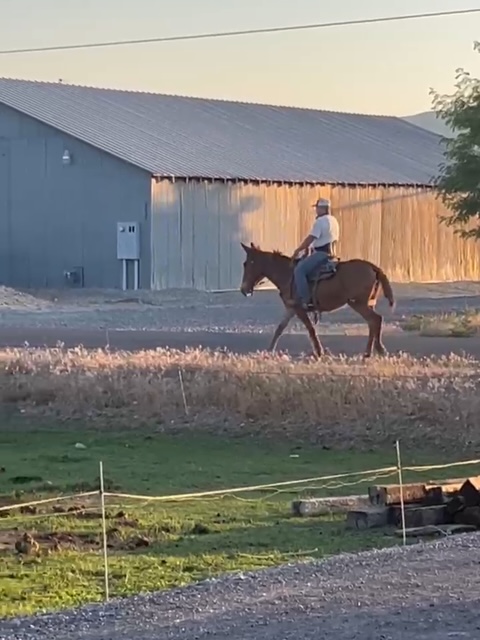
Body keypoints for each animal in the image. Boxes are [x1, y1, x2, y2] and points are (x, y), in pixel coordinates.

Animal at [239, 242, 395, 358]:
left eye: (246, 263)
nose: (243, 289)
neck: (287, 274)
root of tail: (373, 267)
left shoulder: (299, 309)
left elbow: (310, 329)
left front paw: (319, 352)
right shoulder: (291, 308)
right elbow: (279, 329)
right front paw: (268, 351)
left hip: (358, 303)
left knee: (375, 320)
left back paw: (374, 351)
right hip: (368, 303)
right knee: (374, 322)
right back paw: (374, 350)